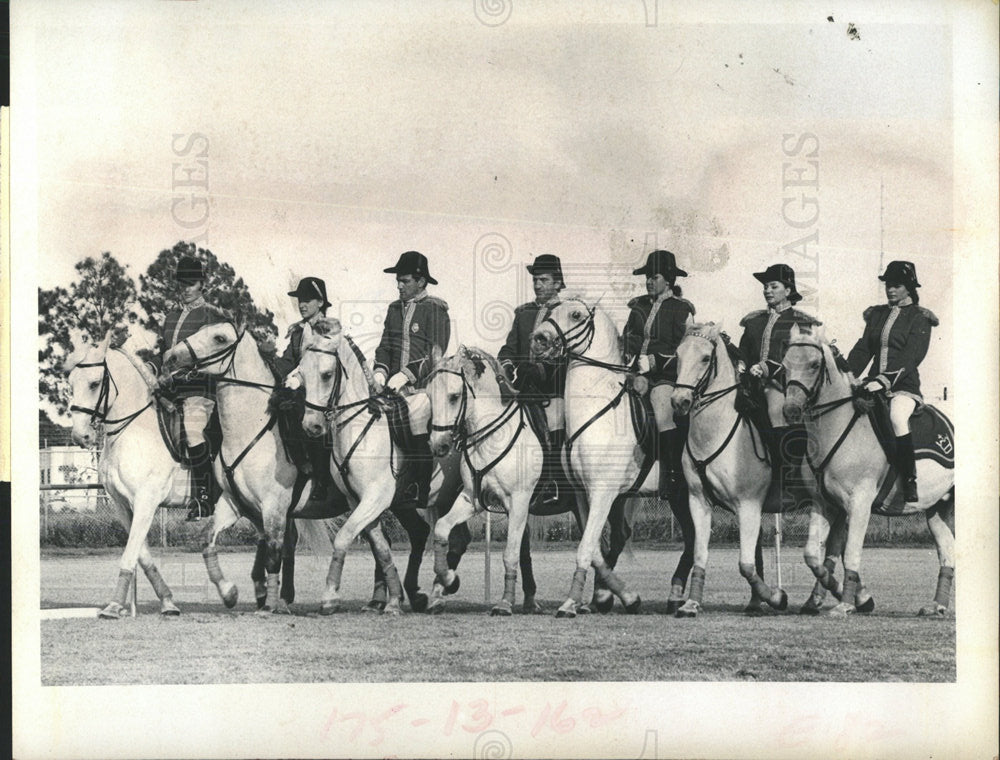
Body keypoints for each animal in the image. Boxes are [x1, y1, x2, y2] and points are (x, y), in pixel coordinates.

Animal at [66, 332, 223, 616]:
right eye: (71, 383)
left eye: (94, 384)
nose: (81, 436)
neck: (134, 429)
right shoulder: (122, 505)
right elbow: (142, 554)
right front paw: (168, 601)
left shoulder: (146, 501)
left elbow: (130, 552)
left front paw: (113, 606)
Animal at [161, 312, 394, 616]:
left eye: (219, 338)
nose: (170, 357)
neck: (249, 430)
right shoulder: (235, 503)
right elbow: (208, 541)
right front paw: (229, 593)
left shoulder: (274, 506)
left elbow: (272, 552)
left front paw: (268, 604)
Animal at [532, 296, 688, 616]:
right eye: (552, 310)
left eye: (576, 315)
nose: (539, 339)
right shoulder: (583, 494)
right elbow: (594, 550)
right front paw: (624, 596)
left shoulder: (603, 491)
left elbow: (587, 548)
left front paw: (570, 603)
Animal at [672, 322, 852, 616]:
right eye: (677, 355)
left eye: (706, 358)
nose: (679, 402)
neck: (717, 432)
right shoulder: (698, 502)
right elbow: (700, 555)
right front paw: (691, 603)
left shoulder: (748, 505)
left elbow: (746, 565)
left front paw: (776, 597)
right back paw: (819, 599)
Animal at [780, 326, 952, 616]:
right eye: (784, 366)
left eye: (814, 364)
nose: (790, 410)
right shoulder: (824, 503)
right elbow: (814, 555)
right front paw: (842, 595)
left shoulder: (858, 503)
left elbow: (850, 554)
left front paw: (847, 603)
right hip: (937, 508)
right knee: (947, 552)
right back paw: (936, 606)